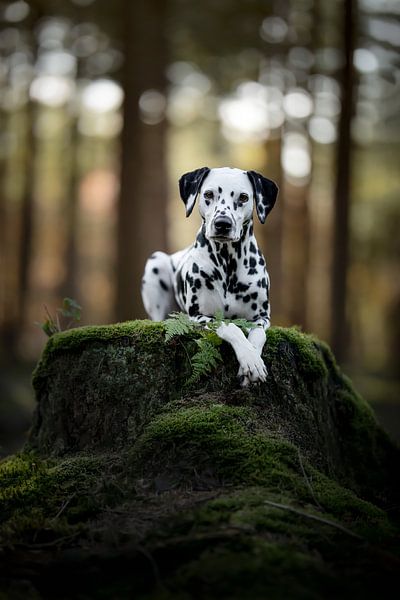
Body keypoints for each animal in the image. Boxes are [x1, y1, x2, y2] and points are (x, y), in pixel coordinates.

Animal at [141, 166, 278, 386]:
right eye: (208, 194)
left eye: (243, 197)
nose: (222, 223)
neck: (228, 262)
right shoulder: (198, 316)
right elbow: (231, 326)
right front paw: (249, 359)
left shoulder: (262, 317)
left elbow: (257, 335)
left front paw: (253, 361)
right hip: (156, 262)